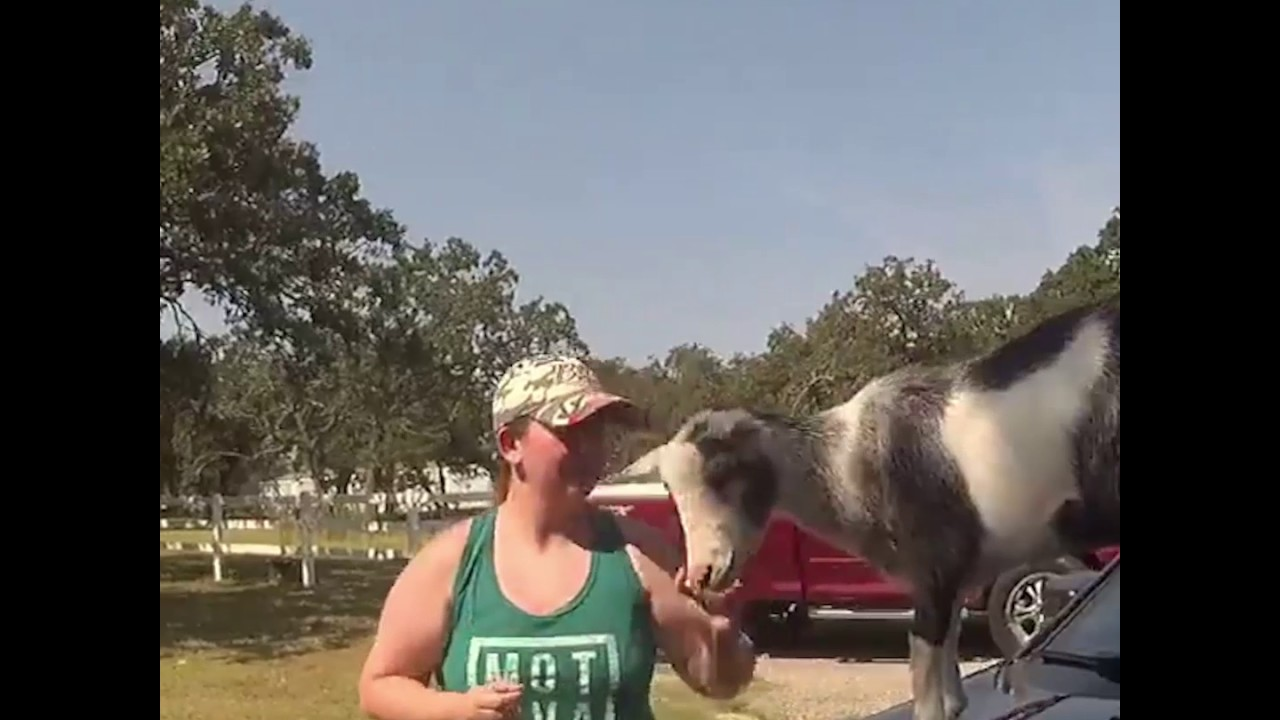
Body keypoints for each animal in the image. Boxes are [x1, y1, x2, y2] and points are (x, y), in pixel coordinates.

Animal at [617, 295, 1119, 720]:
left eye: (723, 473)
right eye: (670, 489)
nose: (699, 575)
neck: (846, 464)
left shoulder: (934, 565)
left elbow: (928, 687)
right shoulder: (955, 577)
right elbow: (950, 680)